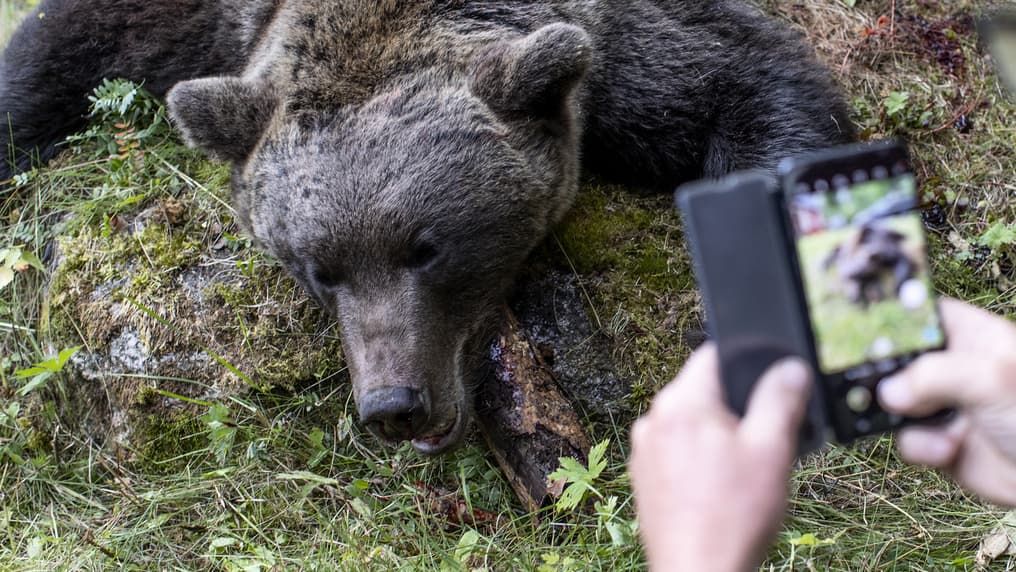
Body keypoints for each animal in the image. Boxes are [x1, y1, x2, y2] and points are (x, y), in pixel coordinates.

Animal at [1, 0, 854, 454]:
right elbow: (59, 50)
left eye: (427, 248)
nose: (393, 404)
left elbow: (742, 79)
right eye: (319, 269)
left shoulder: (625, 52)